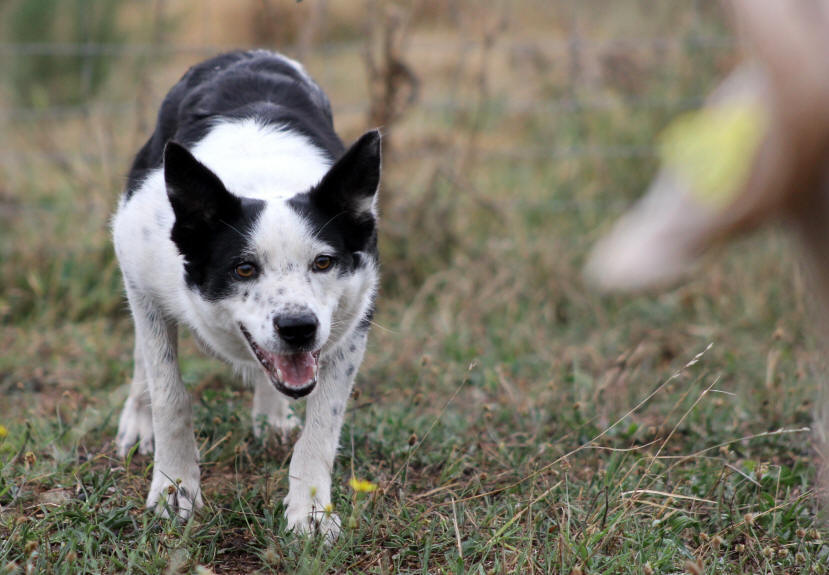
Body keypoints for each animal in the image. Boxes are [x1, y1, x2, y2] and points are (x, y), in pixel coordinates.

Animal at [111, 50, 382, 540]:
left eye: (323, 262)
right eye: (243, 268)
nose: (298, 328)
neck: (264, 181)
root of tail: (243, 54)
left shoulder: (355, 318)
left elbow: (323, 425)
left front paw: (311, 512)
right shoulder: (142, 281)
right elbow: (170, 395)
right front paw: (174, 490)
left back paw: (271, 416)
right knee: (144, 356)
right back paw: (138, 420)